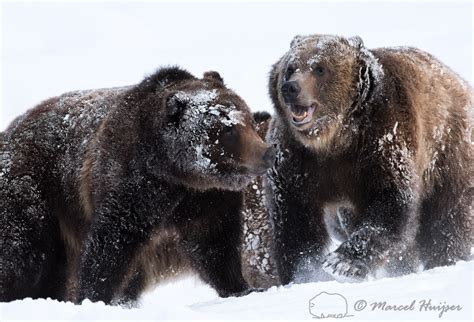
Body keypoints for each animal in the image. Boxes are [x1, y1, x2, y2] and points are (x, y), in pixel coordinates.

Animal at [0, 66, 276, 304]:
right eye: (228, 130)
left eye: (248, 119)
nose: (267, 153)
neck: (178, 175)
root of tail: (9, 131)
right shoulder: (132, 188)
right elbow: (111, 245)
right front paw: (94, 294)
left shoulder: (207, 199)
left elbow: (215, 243)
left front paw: (240, 288)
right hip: (35, 194)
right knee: (25, 257)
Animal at [264, 34, 472, 284]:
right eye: (290, 68)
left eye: (320, 68)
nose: (291, 88)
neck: (333, 140)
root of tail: (458, 80)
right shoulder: (296, 160)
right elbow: (296, 220)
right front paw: (304, 273)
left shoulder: (380, 141)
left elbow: (389, 201)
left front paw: (342, 263)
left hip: (448, 151)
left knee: (448, 216)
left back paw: (445, 259)